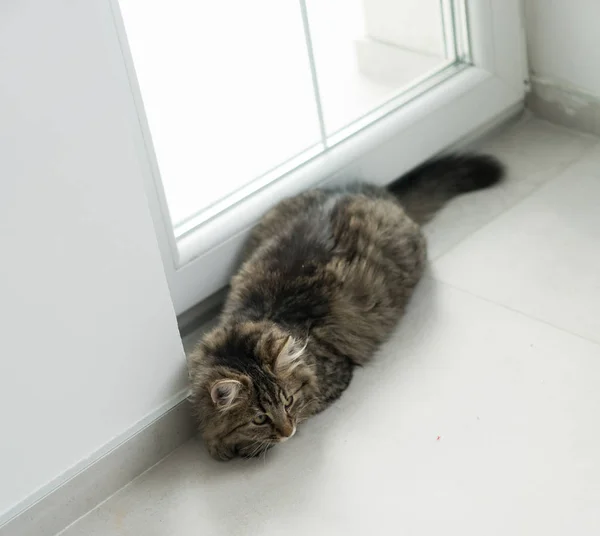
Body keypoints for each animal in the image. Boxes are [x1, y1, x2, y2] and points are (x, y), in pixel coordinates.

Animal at [190, 154, 504, 460]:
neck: (266, 316)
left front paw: (237, 448)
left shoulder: (331, 379)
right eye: (259, 419)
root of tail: (366, 192)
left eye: (289, 402)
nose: (288, 431)